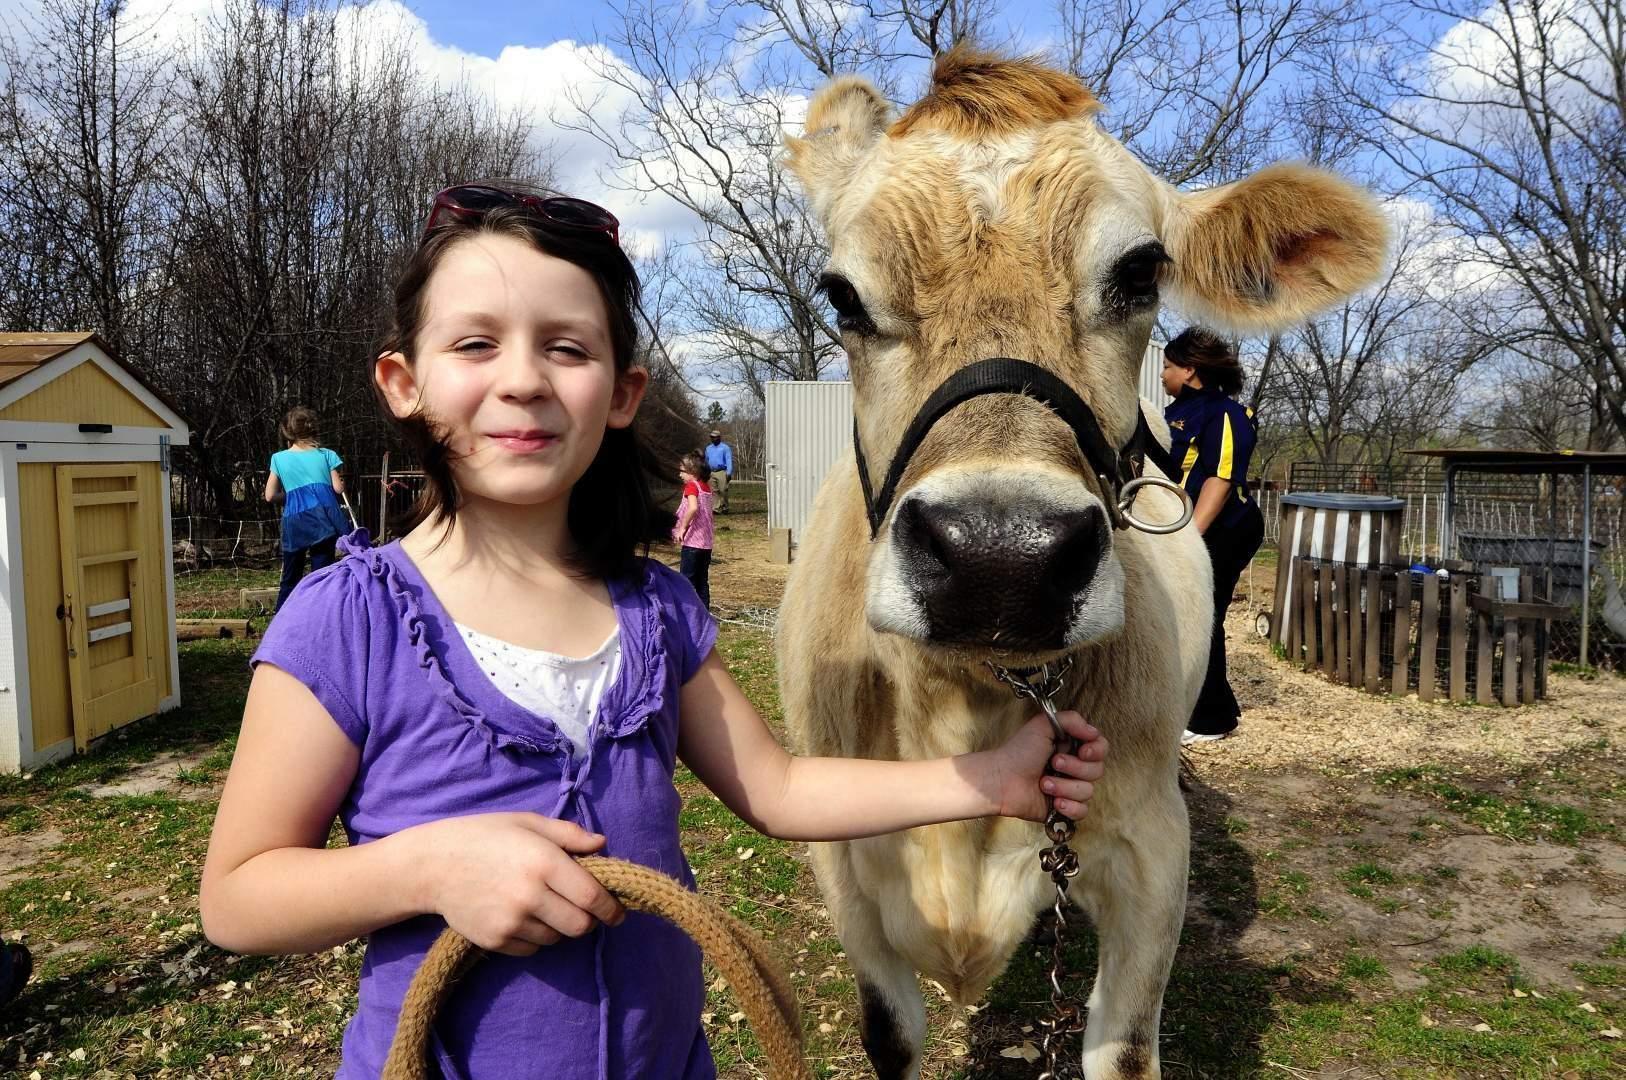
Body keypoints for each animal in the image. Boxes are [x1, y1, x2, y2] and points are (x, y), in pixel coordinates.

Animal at [773, 48, 1385, 1080]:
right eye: (841, 296)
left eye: (1140, 275)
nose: (999, 557)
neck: (966, 708)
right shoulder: (845, 864)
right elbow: (890, 1033)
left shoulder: (1153, 858)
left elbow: (1124, 1050)